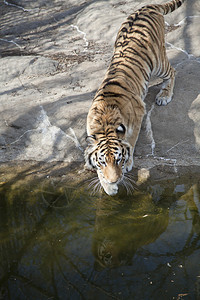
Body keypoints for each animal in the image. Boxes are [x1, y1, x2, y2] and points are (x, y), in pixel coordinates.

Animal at [84, 0, 184, 196]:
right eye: (103, 161)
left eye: (118, 159)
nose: (114, 180)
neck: (105, 122)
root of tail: (147, 7)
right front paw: (108, 186)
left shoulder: (138, 115)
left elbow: (130, 141)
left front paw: (128, 164)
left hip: (158, 62)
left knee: (172, 71)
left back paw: (164, 96)